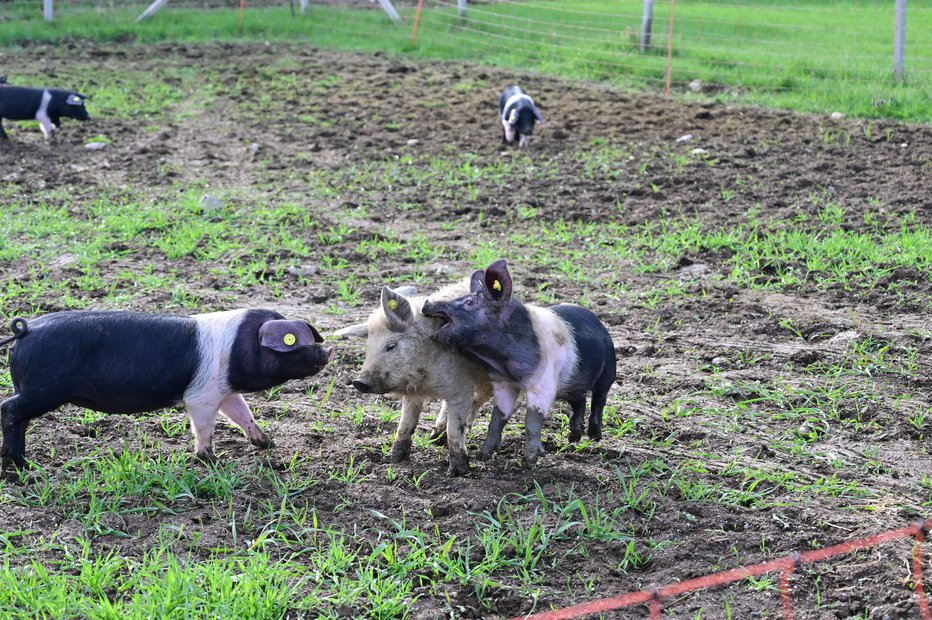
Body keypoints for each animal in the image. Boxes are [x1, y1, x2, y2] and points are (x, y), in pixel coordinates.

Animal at [0, 308, 334, 472]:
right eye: (292, 341)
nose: (327, 350)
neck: (235, 348)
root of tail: (25, 331)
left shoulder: (225, 391)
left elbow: (242, 413)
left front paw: (266, 443)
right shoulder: (201, 395)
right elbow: (204, 426)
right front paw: (211, 459)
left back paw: (25, 464)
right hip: (44, 389)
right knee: (9, 409)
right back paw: (23, 469)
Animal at [334, 284, 496, 478]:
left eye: (391, 346)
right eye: (368, 348)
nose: (358, 382)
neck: (423, 380)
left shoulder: (461, 390)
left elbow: (455, 429)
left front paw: (458, 472)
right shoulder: (413, 395)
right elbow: (405, 425)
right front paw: (394, 460)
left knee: (479, 403)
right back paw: (435, 439)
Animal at [424, 260, 620, 464]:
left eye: (470, 302)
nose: (427, 303)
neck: (504, 363)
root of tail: (601, 324)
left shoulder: (544, 386)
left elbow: (531, 421)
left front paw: (530, 460)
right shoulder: (504, 384)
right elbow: (497, 419)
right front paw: (482, 456)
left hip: (609, 371)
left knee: (599, 398)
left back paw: (595, 436)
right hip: (572, 382)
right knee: (579, 400)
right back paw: (574, 437)